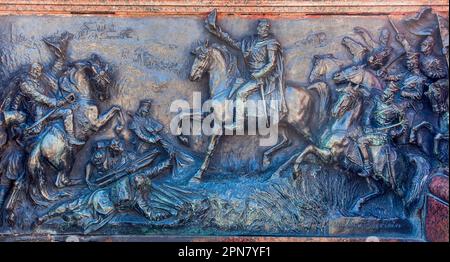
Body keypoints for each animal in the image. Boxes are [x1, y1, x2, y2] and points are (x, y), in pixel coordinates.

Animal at [188, 41, 332, 182]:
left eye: (201, 57)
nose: (192, 76)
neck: (225, 88)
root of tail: (306, 90)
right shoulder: (208, 116)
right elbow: (186, 115)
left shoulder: (219, 125)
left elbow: (210, 149)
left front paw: (197, 175)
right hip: (280, 123)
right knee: (288, 141)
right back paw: (269, 163)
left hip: (300, 125)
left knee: (313, 143)